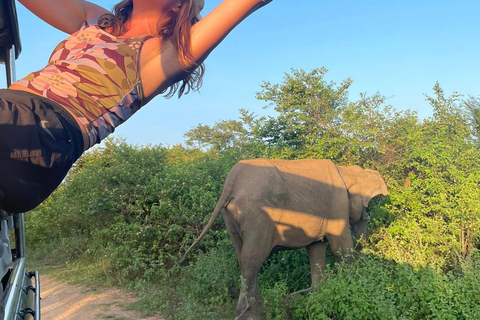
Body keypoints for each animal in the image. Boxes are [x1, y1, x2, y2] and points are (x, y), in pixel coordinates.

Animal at [178, 159, 388, 318]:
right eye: (366, 206)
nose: (290, 298)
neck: (346, 170)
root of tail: (231, 182)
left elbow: (316, 249)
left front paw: (317, 297)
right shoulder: (337, 206)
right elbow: (341, 248)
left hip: (231, 216)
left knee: (242, 257)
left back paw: (260, 309)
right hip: (257, 216)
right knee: (252, 260)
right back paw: (251, 315)